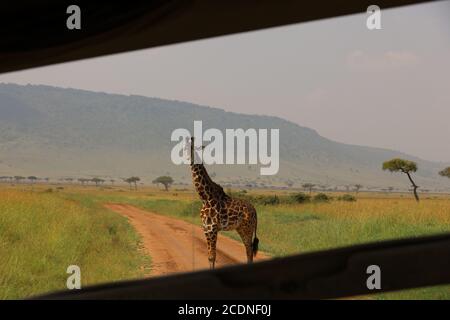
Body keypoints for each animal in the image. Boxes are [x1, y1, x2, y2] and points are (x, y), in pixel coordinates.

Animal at [186, 136, 258, 268]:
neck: (205, 197)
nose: (190, 159)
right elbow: (210, 256)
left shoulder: (212, 228)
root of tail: (255, 210)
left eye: (194, 148)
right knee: (248, 250)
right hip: (240, 228)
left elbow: (212, 256)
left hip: (247, 228)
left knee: (249, 250)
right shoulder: (206, 228)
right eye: (185, 148)